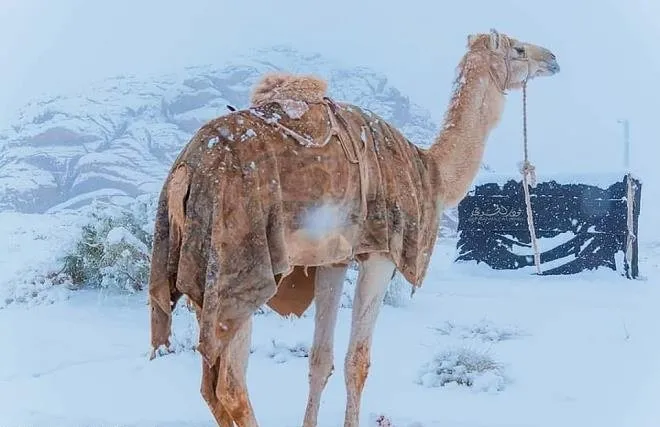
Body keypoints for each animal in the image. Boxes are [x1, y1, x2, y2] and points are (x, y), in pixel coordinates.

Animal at [147, 30, 560, 427]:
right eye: (518, 49)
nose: (552, 58)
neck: (430, 173)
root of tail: (185, 172)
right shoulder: (381, 252)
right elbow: (357, 361)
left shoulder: (334, 259)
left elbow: (319, 360)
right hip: (237, 264)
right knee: (230, 386)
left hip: (201, 273)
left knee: (211, 386)